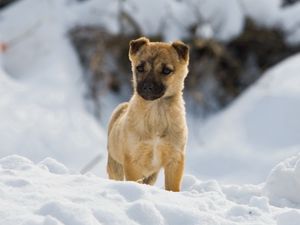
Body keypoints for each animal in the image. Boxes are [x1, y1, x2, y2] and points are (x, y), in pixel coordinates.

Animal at [106, 37, 189, 192]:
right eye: (139, 68)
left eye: (166, 70)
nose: (147, 87)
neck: (156, 113)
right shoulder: (132, 160)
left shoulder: (175, 159)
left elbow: (173, 187)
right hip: (115, 166)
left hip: (151, 176)